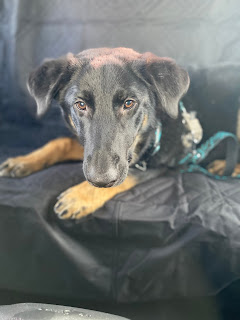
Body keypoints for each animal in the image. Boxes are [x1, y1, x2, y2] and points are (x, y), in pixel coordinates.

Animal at [0, 47, 240, 219]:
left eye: (129, 103)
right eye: (80, 105)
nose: (100, 180)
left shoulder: (154, 164)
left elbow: (127, 176)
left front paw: (80, 195)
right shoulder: (90, 148)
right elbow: (61, 142)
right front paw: (23, 161)